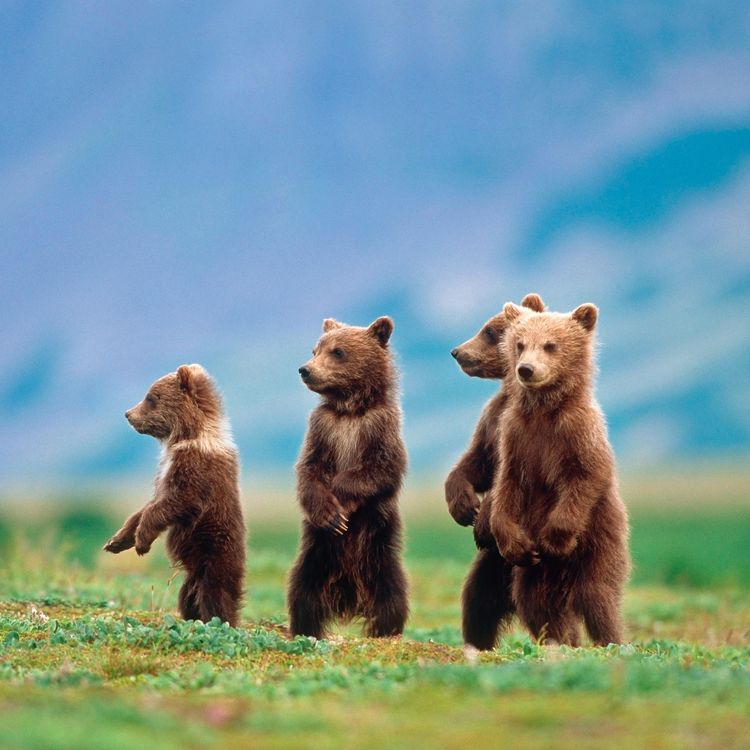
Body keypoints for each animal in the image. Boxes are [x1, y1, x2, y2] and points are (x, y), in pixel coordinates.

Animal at [104, 364, 246, 628]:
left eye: (151, 397)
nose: (128, 414)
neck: (186, 437)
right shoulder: (163, 473)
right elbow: (148, 505)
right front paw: (117, 541)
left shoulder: (195, 471)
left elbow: (174, 503)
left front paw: (142, 542)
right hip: (192, 575)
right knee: (188, 595)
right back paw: (190, 617)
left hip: (215, 552)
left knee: (216, 593)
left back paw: (218, 621)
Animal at [287, 316, 409, 639]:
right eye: (315, 349)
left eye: (338, 351)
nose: (305, 369)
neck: (350, 409)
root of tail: (349, 593)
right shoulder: (324, 430)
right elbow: (309, 470)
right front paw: (329, 514)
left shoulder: (380, 428)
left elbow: (381, 470)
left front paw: (340, 505)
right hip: (315, 557)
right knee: (302, 595)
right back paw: (306, 629)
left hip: (379, 550)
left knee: (391, 597)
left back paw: (385, 631)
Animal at [445, 293, 546, 650]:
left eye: (489, 330)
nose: (457, 351)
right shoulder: (491, 421)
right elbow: (474, 463)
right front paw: (463, 506)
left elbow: (505, 478)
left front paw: (481, 515)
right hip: (491, 566)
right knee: (478, 602)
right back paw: (478, 642)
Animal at [488, 302, 630, 646]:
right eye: (520, 344)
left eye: (551, 345)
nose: (525, 369)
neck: (544, 411)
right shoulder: (516, 438)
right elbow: (507, 486)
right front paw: (513, 543)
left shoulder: (577, 434)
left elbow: (586, 476)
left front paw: (555, 537)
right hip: (534, 573)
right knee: (536, 603)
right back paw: (563, 641)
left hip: (599, 542)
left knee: (597, 595)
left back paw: (610, 641)